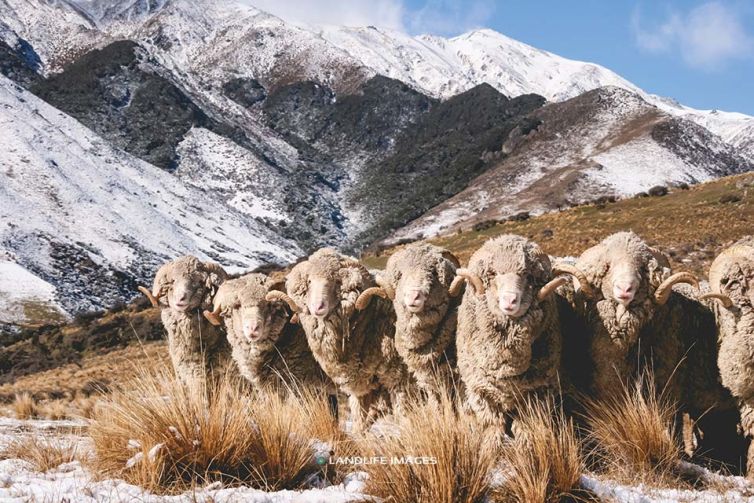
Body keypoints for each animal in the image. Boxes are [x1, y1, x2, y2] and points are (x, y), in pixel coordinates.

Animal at [284, 248, 412, 434]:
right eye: (309, 281)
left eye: (336, 281)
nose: (317, 307)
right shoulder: (361, 386)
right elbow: (359, 417)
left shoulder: (399, 377)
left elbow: (404, 414)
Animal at [450, 236, 572, 438]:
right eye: (492, 274)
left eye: (529, 276)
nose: (510, 300)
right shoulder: (481, 392)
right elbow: (493, 429)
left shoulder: (537, 393)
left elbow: (525, 430)